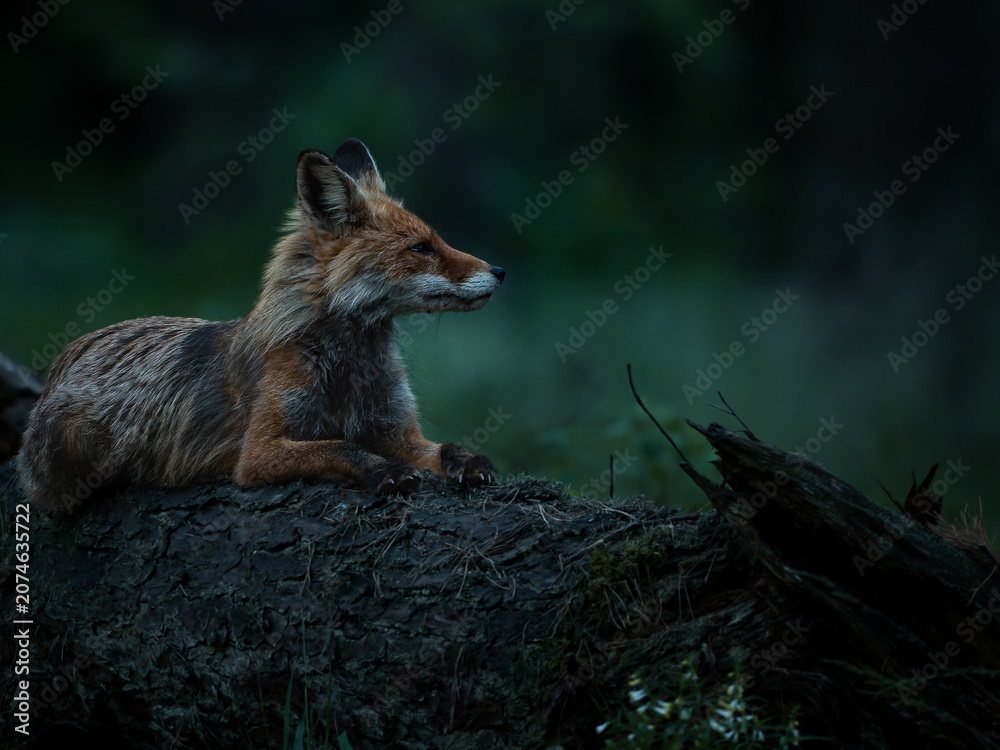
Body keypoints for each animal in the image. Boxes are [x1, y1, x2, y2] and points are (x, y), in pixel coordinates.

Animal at [18, 138, 505, 511]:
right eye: (421, 248)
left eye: (437, 240)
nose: (500, 271)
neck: (349, 371)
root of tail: (69, 355)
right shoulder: (257, 453)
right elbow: (340, 446)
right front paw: (384, 472)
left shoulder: (396, 430)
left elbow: (443, 447)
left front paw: (468, 461)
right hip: (77, 447)